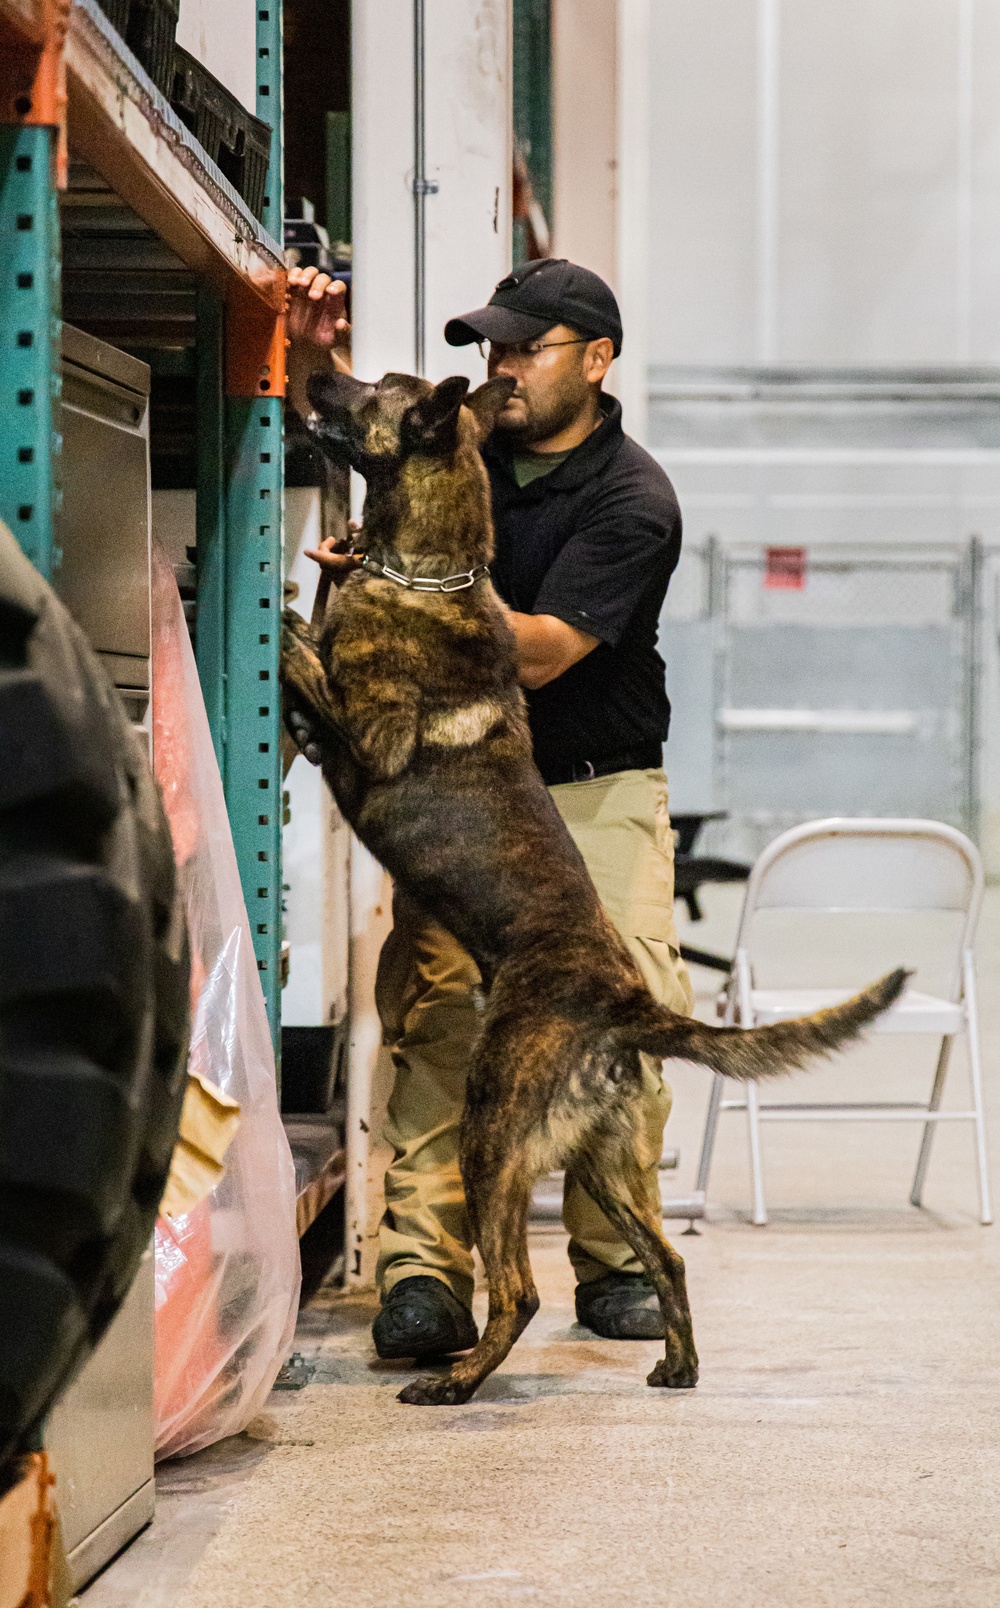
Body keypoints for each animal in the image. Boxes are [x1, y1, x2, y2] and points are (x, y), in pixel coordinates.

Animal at [279, 368, 906, 1408]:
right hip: (607, 1157)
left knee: (522, 1291)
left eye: (373, 392)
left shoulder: (364, 743)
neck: (427, 571)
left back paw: (456, 1383)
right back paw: (675, 1363)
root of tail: (620, 1003)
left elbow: (310, 665)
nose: (318, 372)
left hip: (493, 1134)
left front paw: (292, 621)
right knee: (669, 1257)